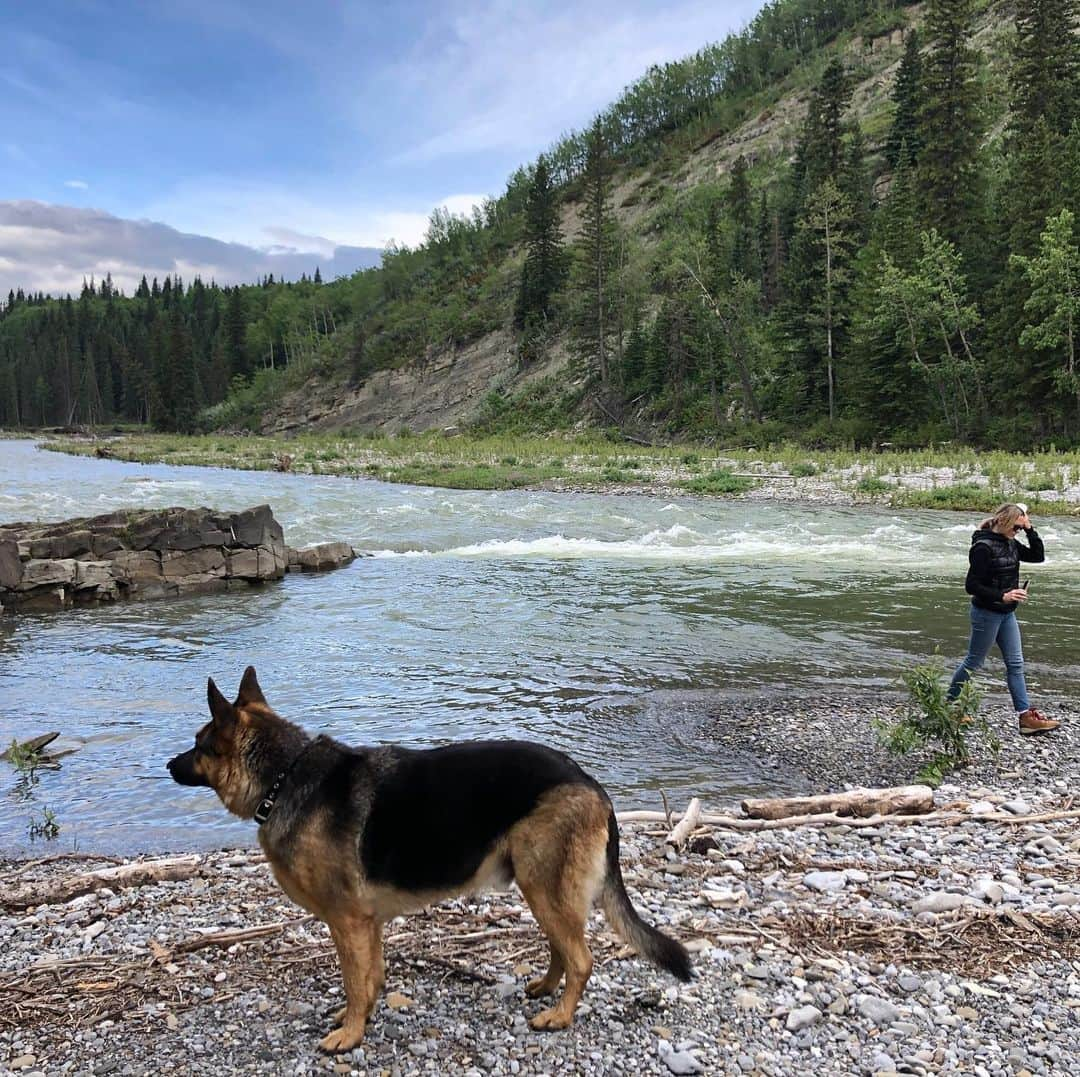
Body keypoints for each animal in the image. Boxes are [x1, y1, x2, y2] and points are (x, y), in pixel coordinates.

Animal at [168, 665, 691, 1049]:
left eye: (198, 745)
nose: (168, 765)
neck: (284, 777)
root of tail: (592, 784)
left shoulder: (347, 922)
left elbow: (355, 981)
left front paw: (351, 1034)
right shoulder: (367, 924)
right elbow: (371, 977)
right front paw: (361, 1017)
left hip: (544, 888)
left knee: (581, 958)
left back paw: (559, 1015)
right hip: (541, 890)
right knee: (562, 949)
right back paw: (545, 989)